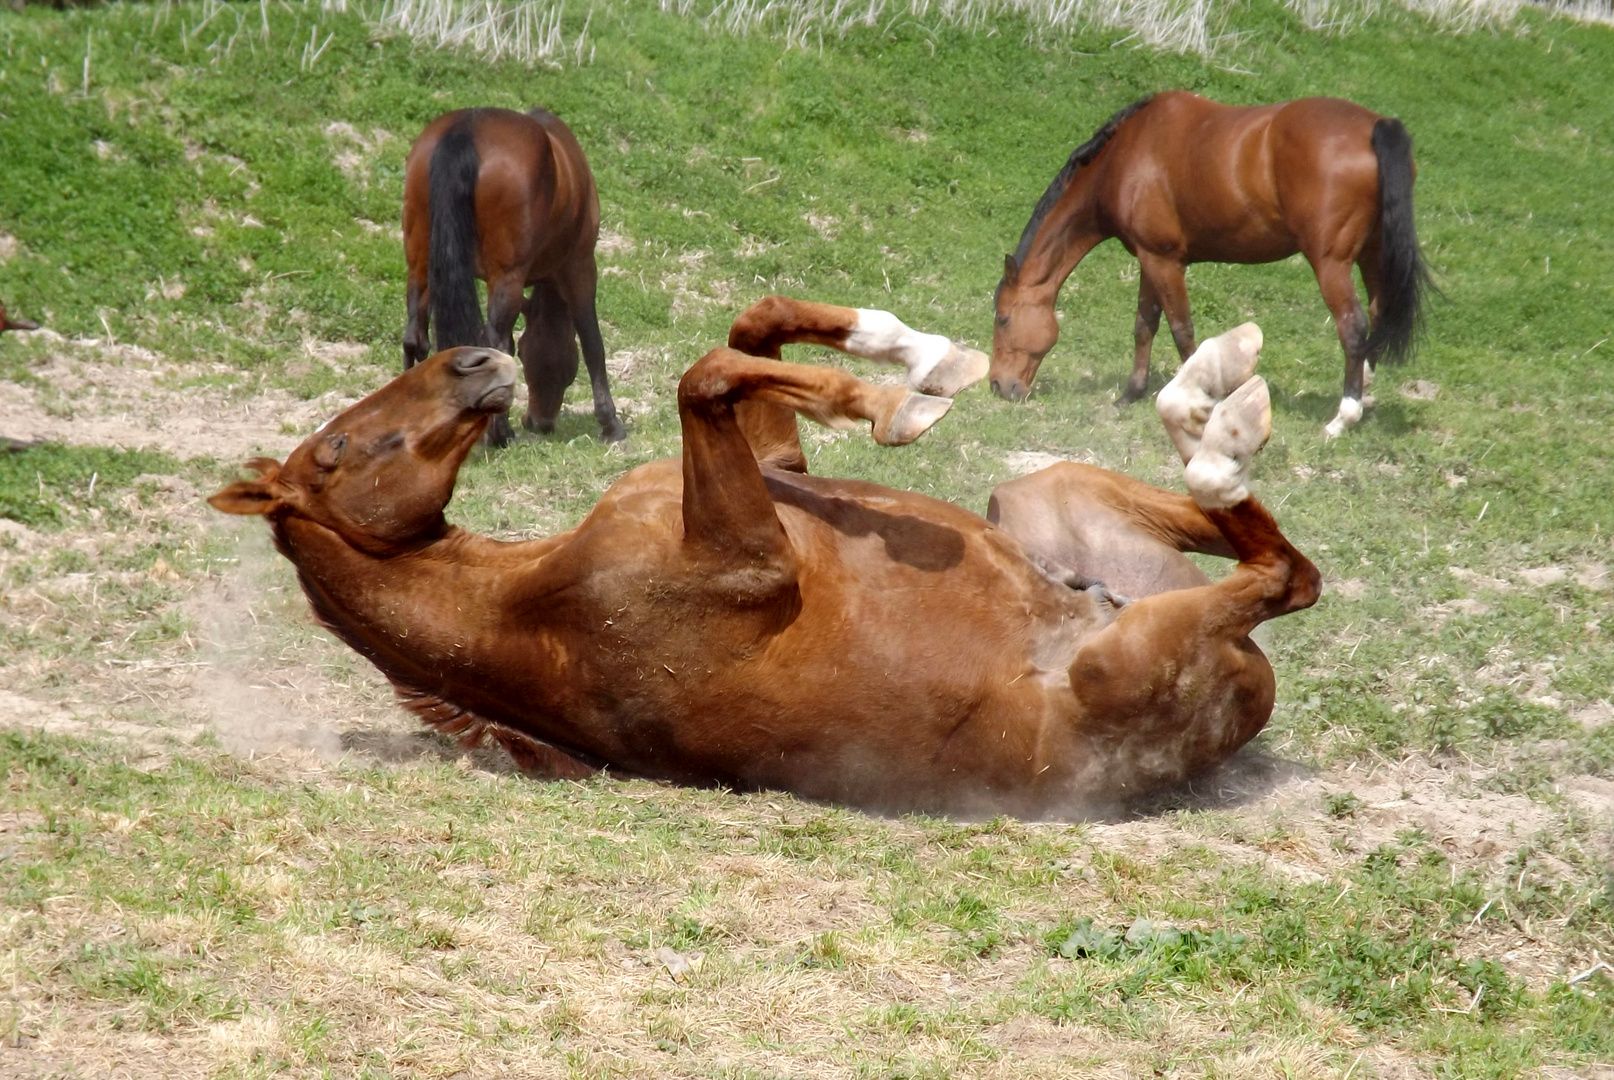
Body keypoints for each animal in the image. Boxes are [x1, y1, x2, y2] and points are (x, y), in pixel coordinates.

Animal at [214, 295, 1317, 816]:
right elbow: (707, 375)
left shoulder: (774, 472)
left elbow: (751, 335)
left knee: (1269, 556)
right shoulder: (756, 555)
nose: (473, 357)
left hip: (1043, 496)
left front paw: (914, 362)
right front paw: (897, 401)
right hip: (1128, 656)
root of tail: (1248, 691)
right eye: (336, 450)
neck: (530, 608)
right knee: (1286, 579)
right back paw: (1220, 430)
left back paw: (1215, 387)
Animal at [401, 107, 623, 445]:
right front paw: (610, 421)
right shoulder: (580, 267)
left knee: (415, 338)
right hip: (510, 276)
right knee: (491, 345)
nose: (539, 422)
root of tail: (464, 129)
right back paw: (501, 435)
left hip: (421, 263)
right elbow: (592, 343)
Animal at [987, 91, 1433, 439]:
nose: (997, 386)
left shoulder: (1165, 262)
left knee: (1353, 327)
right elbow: (1145, 326)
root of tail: (1375, 126)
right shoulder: (1151, 259)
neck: (1126, 155)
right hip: (1372, 252)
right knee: (1377, 311)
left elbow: (1183, 332)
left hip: (1332, 264)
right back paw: (1365, 389)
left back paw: (1344, 417)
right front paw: (1130, 394)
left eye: (1003, 319)